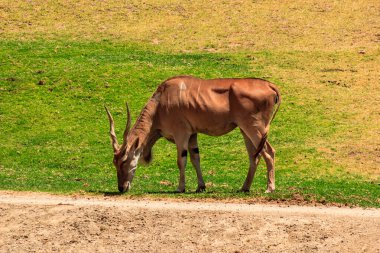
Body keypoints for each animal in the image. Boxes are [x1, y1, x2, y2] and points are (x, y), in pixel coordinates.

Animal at [105, 75, 280, 194]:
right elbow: (196, 158)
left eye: (124, 161)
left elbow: (181, 160)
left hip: (254, 128)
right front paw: (200, 186)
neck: (160, 103)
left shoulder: (181, 134)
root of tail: (270, 85)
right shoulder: (192, 135)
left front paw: (180, 188)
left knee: (269, 152)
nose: (121, 188)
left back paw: (269, 188)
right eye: (114, 163)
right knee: (254, 156)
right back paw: (244, 187)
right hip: (245, 130)